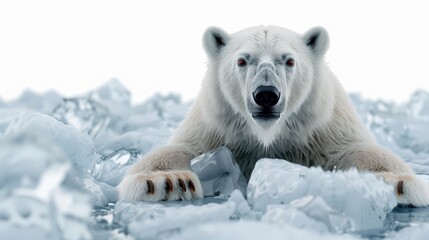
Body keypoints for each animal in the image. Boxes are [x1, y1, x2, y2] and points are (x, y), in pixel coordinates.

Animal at [118, 25, 428, 206]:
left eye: (289, 60)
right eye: (242, 60)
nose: (266, 94)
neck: (268, 136)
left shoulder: (322, 128)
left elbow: (357, 150)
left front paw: (394, 182)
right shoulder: (217, 127)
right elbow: (181, 149)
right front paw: (168, 181)